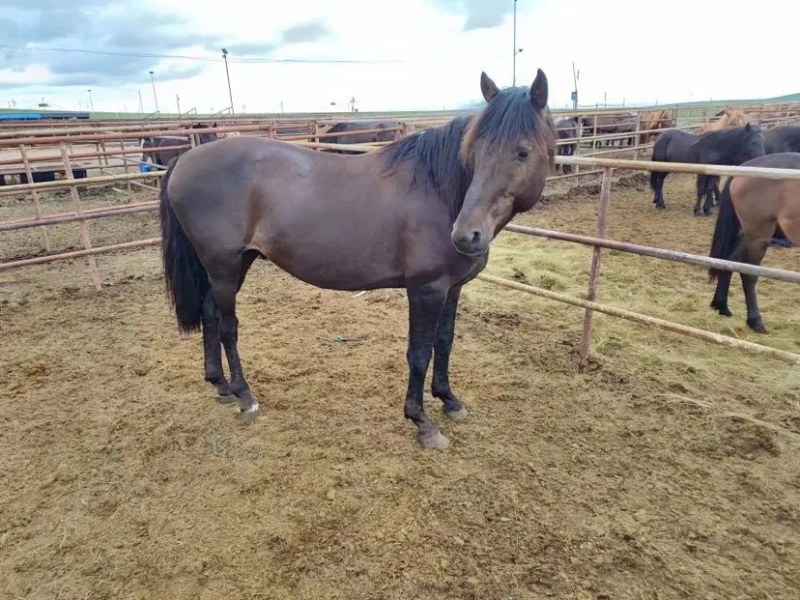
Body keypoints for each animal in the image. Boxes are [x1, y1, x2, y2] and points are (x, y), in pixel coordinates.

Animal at [157, 68, 557, 450]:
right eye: (475, 150)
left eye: (522, 152)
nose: (465, 235)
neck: (440, 192)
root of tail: (183, 159)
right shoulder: (425, 289)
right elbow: (419, 353)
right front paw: (422, 423)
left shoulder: (452, 288)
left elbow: (444, 343)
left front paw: (449, 400)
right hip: (224, 265)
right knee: (228, 327)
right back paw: (245, 397)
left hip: (237, 263)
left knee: (209, 314)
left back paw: (220, 385)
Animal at [708, 152, 800, 334]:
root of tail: (743, 169)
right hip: (758, 235)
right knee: (748, 273)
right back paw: (755, 321)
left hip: (750, 235)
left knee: (731, 261)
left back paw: (722, 307)